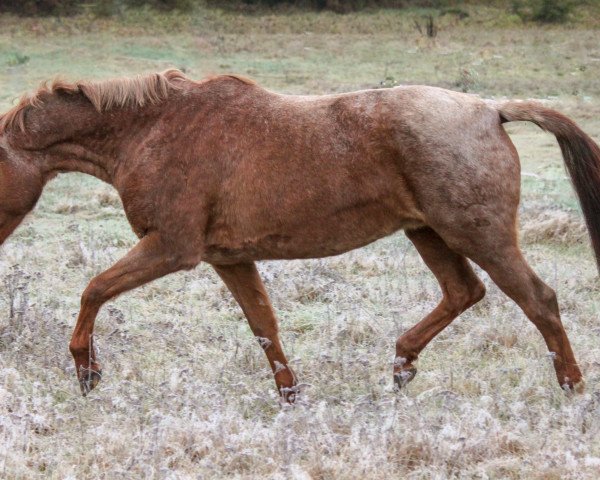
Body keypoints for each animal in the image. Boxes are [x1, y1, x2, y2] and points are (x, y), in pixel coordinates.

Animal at [1, 70, 600, 402]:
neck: (151, 131)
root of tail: (491, 111)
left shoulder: (171, 247)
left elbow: (93, 290)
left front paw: (87, 372)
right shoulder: (228, 258)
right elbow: (264, 326)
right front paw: (291, 397)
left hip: (481, 235)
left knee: (538, 300)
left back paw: (572, 389)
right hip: (427, 232)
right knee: (464, 292)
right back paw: (401, 367)